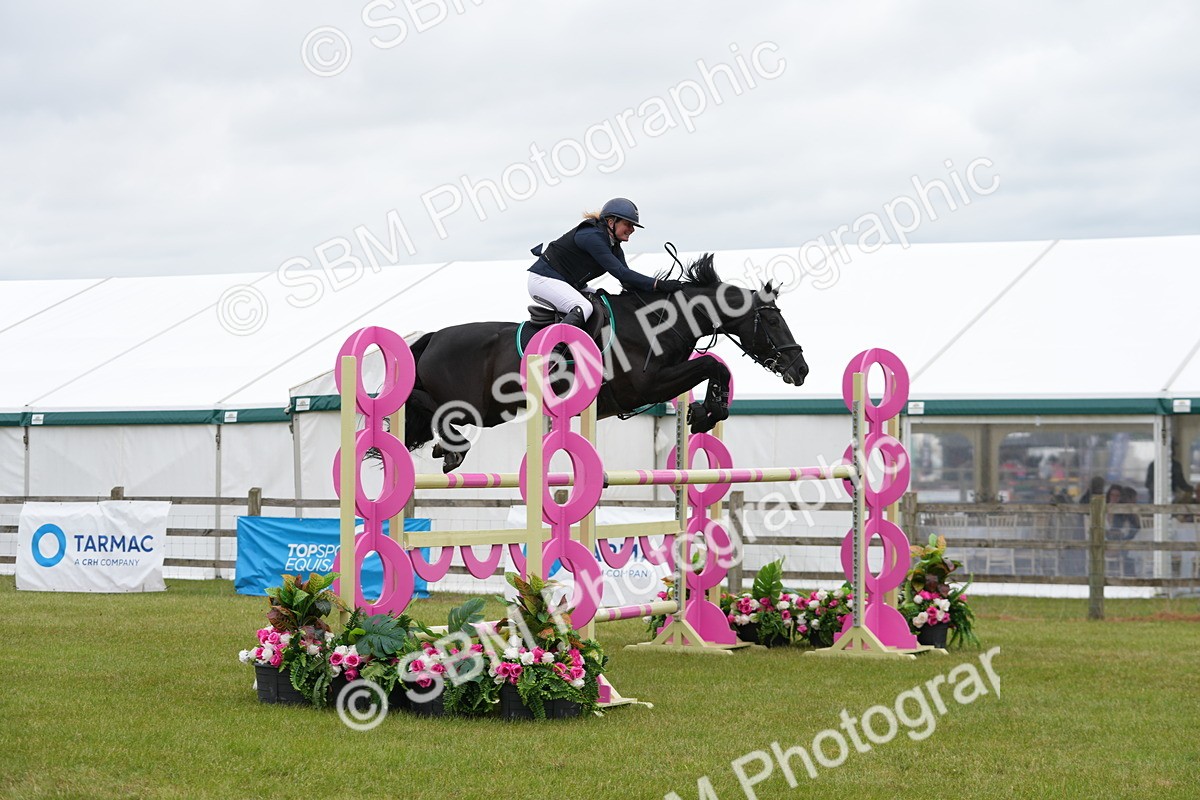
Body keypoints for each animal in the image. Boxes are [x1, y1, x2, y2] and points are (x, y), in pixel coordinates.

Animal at [404, 253, 808, 472]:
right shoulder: (645, 386)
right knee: (426, 405)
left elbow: (715, 367)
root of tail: (433, 337)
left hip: (489, 410)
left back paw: (444, 449)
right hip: (475, 406)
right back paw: (451, 450)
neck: (658, 322)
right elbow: (712, 365)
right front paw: (706, 412)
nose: (801, 369)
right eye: (773, 321)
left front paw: (705, 413)